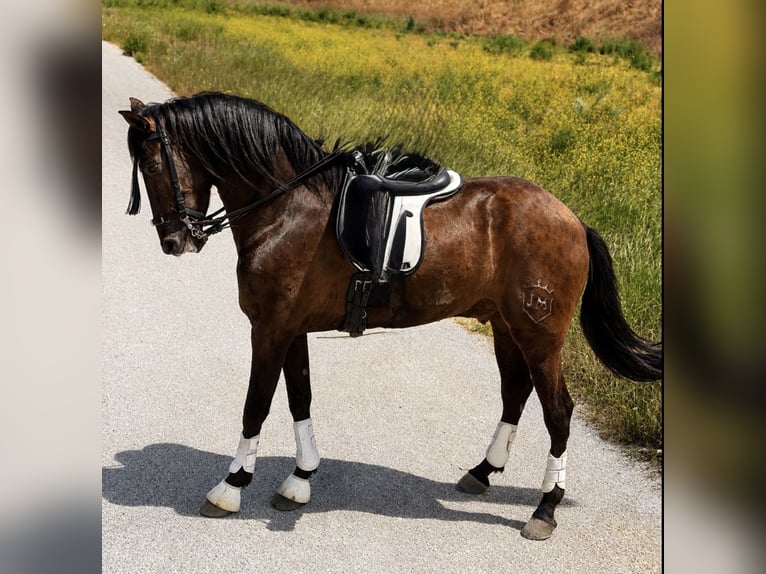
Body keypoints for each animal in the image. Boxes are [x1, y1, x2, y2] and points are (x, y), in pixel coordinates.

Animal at [119, 91, 662, 541]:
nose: (174, 240)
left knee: (558, 412)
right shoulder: (290, 330)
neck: (289, 207)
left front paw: (231, 487)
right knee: (515, 393)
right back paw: (483, 472)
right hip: (507, 327)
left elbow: (256, 406)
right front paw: (300, 478)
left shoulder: (269, 330)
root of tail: (572, 219)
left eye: (153, 165)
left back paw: (545, 508)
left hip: (541, 335)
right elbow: (299, 399)